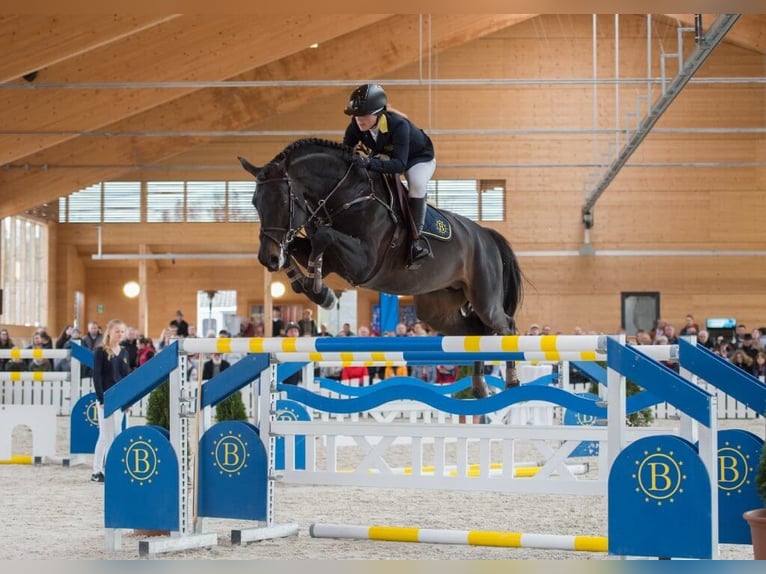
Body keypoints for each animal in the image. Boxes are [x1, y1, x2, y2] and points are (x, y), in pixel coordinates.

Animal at [240, 140, 528, 400]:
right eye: (254, 203)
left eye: (281, 201)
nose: (267, 258)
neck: (346, 195)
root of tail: (486, 235)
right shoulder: (330, 257)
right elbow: (299, 247)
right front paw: (315, 289)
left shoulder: (364, 262)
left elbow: (323, 237)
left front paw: (320, 290)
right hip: (436, 308)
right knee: (476, 331)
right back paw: (479, 387)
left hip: (484, 297)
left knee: (505, 325)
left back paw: (512, 380)